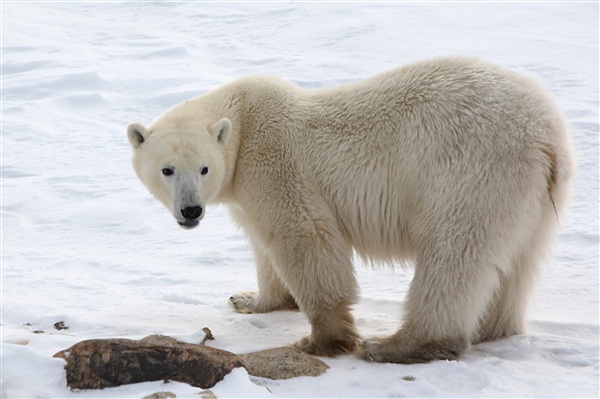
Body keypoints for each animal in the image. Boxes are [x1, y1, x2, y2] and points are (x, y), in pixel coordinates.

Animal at [129, 57, 576, 366]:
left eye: (203, 168)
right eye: (167, 169)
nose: (191, 210)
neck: (243, 120)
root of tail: (546, 134)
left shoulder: (275, 163)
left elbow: (304, 236)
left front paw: (321, 340)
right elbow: (263, 245)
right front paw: (250, 299)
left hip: (469, 171)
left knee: (453, 256)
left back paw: (398, 345)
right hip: (533, 197)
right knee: (519, 261)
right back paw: (492, 329)